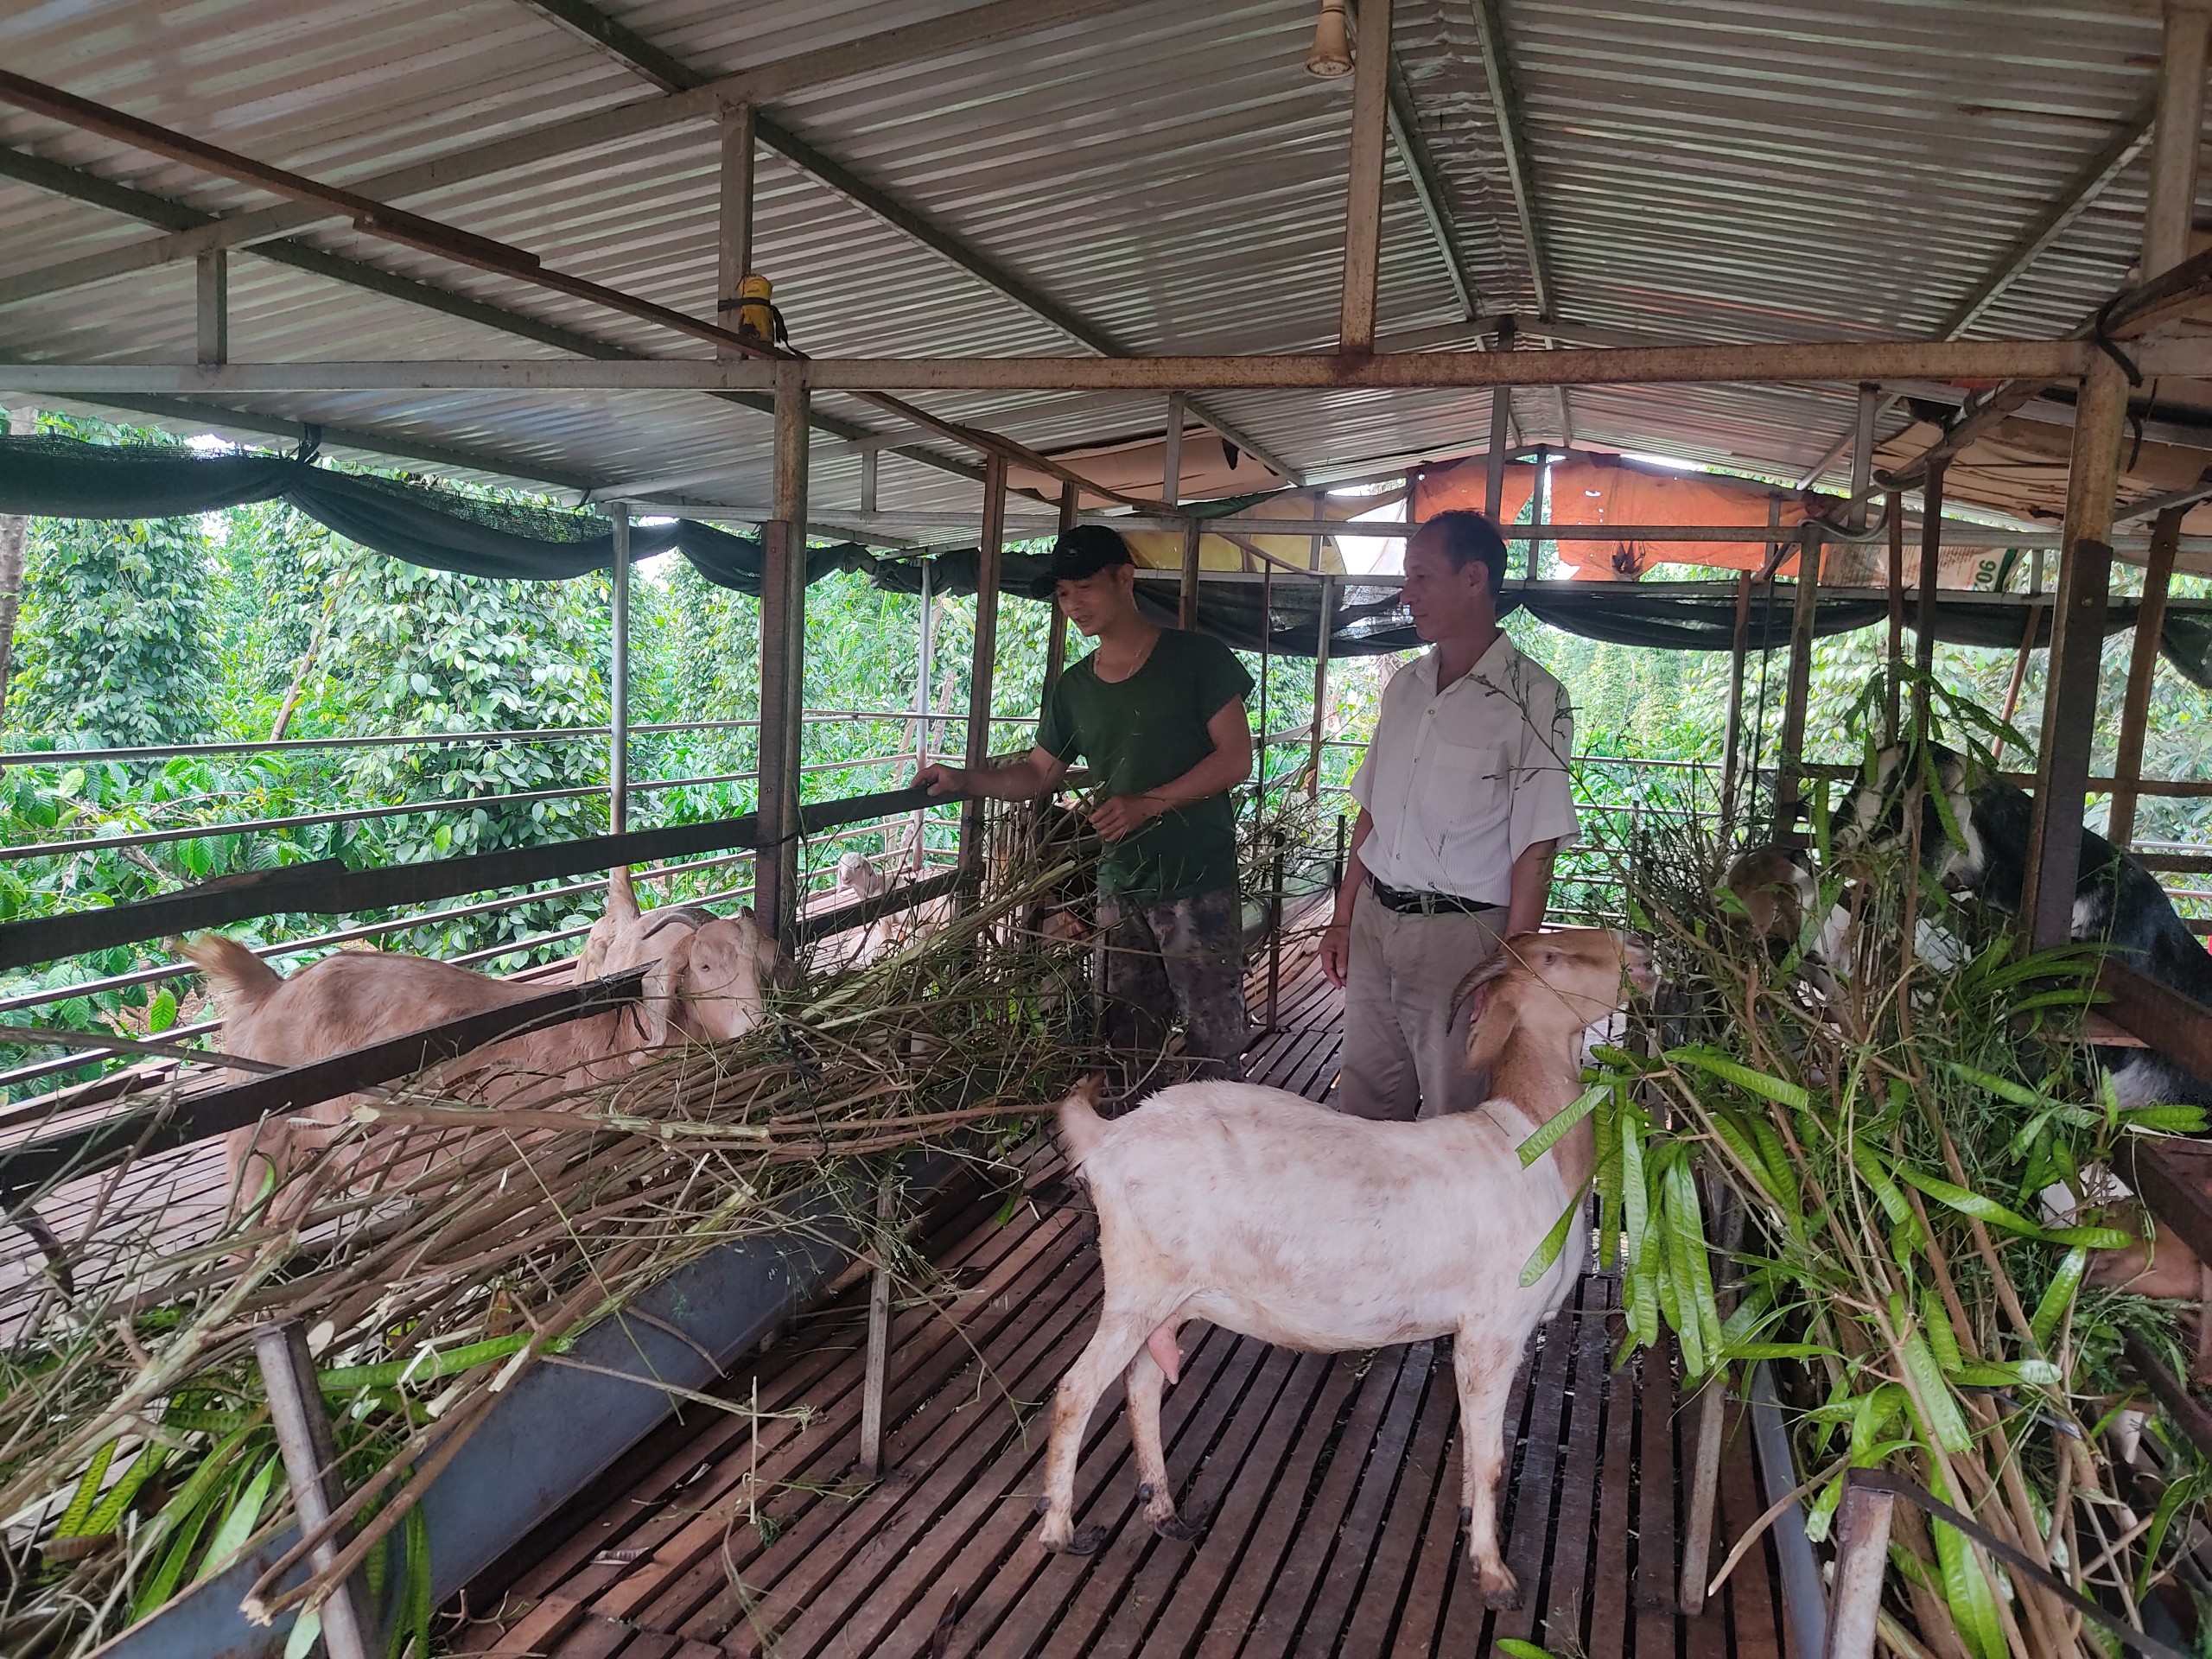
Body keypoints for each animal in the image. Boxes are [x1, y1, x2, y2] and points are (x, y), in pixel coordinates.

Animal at [1044, 929, 1654, 1601]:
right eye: (1551, 957)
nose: (1644, 951)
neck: (1531, 1143)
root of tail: (1106, 1138)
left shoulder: (1473, 1335)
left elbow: (1472, 1442)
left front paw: (1472, 1523)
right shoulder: (1497, 1327)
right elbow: (1492, 1457)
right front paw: (1493, 1573)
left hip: (1178, 1299)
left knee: (1145, 1381)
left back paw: (1165, 1511)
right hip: (1139, 1285)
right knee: (1077, 1389)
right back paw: (1061, 1533)